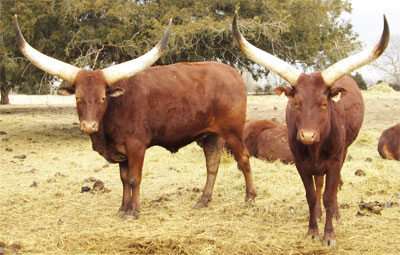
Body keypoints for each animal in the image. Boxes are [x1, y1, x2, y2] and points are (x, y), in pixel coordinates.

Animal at [14, 15, 256, 219]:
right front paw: (122, 209)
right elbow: (123, 180)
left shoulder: (136, 146)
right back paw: (203, 200)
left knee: (243, 158)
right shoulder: (121, 151)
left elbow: (133, 178)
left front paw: (134, 211)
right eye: (77, 97)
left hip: (233, 131)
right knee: (212, 164)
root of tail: (232, 73)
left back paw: (250, 197)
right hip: (210, 136)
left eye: (103, 97)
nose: (89, 126)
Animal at [233, 10, 390, 247]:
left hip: (343, 152)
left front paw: (329, 235)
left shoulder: (334, 161)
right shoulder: (301, 163)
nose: (307, 135)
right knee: (319, 184)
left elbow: (329, 195)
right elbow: (312, 195)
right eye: (296, 103)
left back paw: (335, 214)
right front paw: (313, 230)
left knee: (330, 189)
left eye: (324, 104)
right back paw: (318, 214)